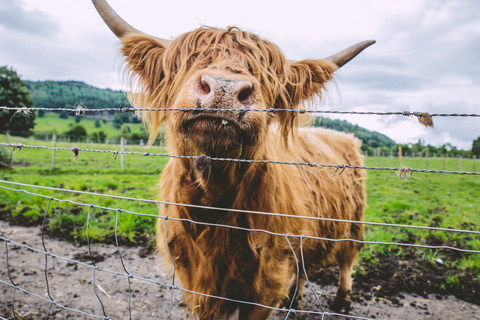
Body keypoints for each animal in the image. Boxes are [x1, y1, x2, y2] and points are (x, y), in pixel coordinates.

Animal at [93, 1, 372, 318]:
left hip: (353, 221)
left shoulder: (266, 286)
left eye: (264, 73)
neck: (212, 208)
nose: (225, 88)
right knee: (304, 266)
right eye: (188, 61)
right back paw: (295, 297)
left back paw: (343, 299)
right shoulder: (194, 281)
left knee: (346, 258)